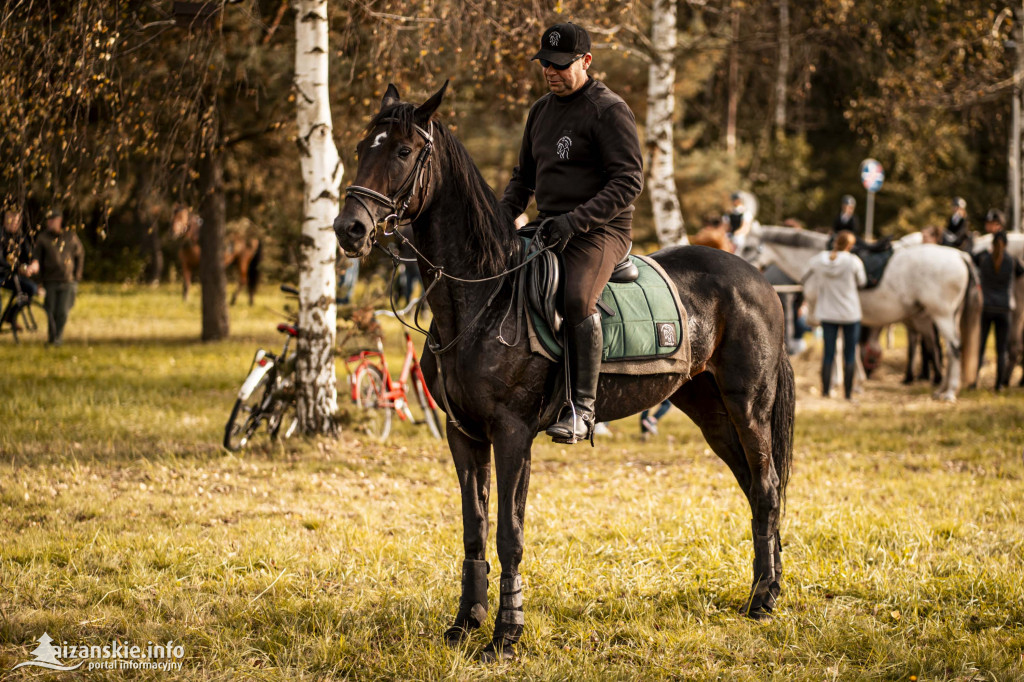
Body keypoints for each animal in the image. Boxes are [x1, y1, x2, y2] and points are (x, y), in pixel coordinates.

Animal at [331, 83, 794, 659]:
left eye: (402, 151)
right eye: (359, 147)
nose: (349, 229)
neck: (483, 295)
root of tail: (759, 280)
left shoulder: (511, 433)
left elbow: (509, 532)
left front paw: (505, 634)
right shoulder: (464, 435)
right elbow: (474, 527)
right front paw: (465, 623)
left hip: (748, 407)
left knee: (768, 487)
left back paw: (764, 601)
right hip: (710, 411)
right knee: (755, 488)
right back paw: (766, 588)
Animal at [745, 225, 983, 401]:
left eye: (747, 247)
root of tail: (961, 256)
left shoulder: (829, 317)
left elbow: (838, 349)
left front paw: (837, 385)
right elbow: (846, 348)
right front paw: (853, 383)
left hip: (941, 315)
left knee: (954, 348)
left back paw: (949, 392)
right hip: (949, 316)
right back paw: (942, 389)